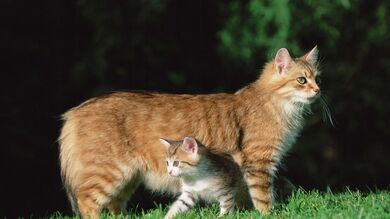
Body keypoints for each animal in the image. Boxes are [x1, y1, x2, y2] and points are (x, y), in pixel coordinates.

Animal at [58, 45, 320, 217]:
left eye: (318, 78)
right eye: (302, 80)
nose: (318, 90)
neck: (279, 105)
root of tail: (74, 111)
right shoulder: (259, 163)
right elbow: (264, 198)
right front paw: (269, 214)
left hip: (128, 179)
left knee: (114, 207)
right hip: (109, 173)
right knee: (88, 202)